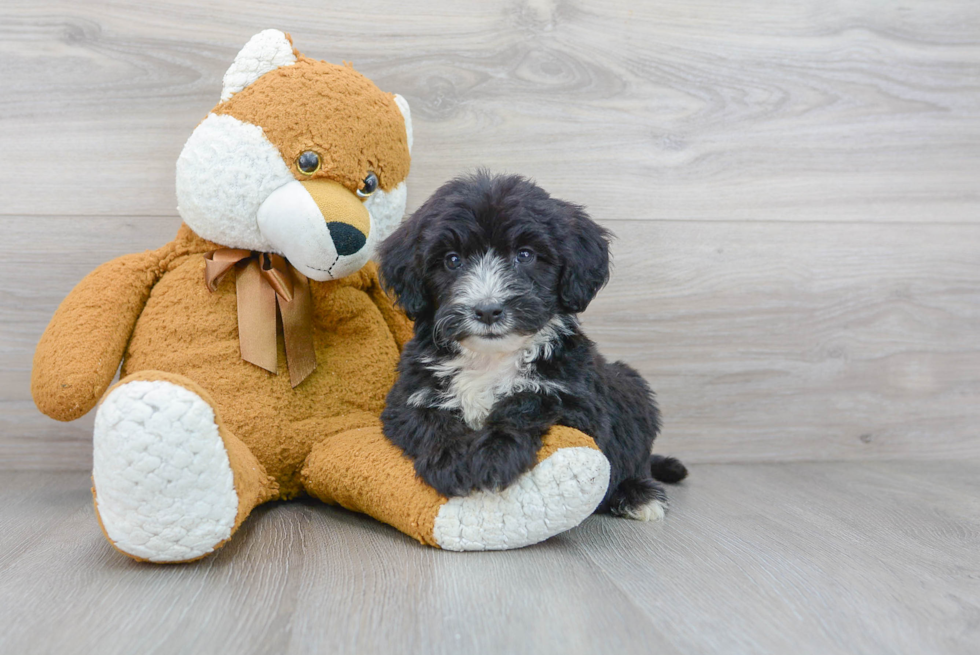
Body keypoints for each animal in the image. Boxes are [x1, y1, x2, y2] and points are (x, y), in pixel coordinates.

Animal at [378, 172, 684, 520]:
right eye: (452, 260)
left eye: (524, 255)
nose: (487, 310)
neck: (491, 358)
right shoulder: (409, 395)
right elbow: (429, 421)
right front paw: (450, 459)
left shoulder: (578, 401)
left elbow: (529, 403)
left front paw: (493, 456)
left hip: (632, 389)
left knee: (635, 457)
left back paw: (638, 494)